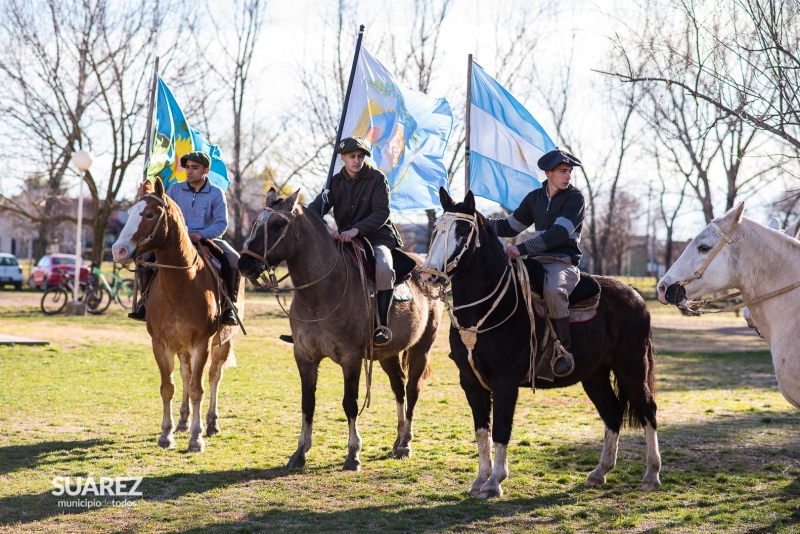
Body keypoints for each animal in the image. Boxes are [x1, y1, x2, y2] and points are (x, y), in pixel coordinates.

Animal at [111, 179, 244, 452]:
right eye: (129, 213)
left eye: (150, 214)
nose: (118, 251)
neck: (181, 284)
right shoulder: (160, 344)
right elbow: (168, 387)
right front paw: (167, 433)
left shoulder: (203, 343)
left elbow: (198, 389)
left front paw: (196, 438)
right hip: (182, 347)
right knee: (185, 374)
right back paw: (182, 421)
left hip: (222, 343)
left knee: (214, 377)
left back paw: (211, 423)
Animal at [238, 189, 444, 474]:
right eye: (256, 224)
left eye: (278, 225)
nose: (244, 263)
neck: (322, 290)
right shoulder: (304, 357)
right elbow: (307, 403)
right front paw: (300, 452)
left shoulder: (351, 358)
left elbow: (350, 403)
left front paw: (353, 454)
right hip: (388, 354)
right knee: (399, 388)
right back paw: (398, 439)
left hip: (421, 348)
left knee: (412, 390)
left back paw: (405, 443)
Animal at [422, 191, 660, 500]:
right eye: (436, 228)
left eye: (462, 231)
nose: (429, 274)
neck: (488, 306)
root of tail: (635, 295)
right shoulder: (470, 382)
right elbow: (481, 431)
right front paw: (480, 480)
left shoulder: (505, 382)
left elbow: (500, 430)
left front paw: (495, 482)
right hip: (594, 376)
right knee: (612, 412)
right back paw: (599, 472)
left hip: (632, 368)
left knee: (648, 410)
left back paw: (651, 475)